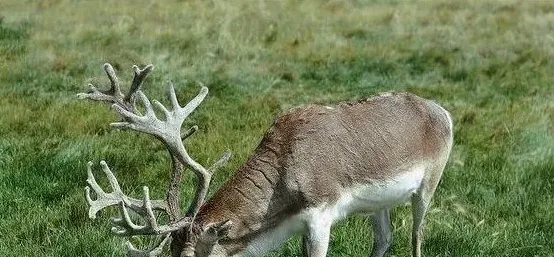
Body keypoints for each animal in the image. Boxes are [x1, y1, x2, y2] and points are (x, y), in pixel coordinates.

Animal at [80, 62, 452, 256]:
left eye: (191, 255)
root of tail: (442, 112)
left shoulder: (321, 214)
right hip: (379, 203)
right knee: (385, 238)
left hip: (429, 184)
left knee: (416, 234)